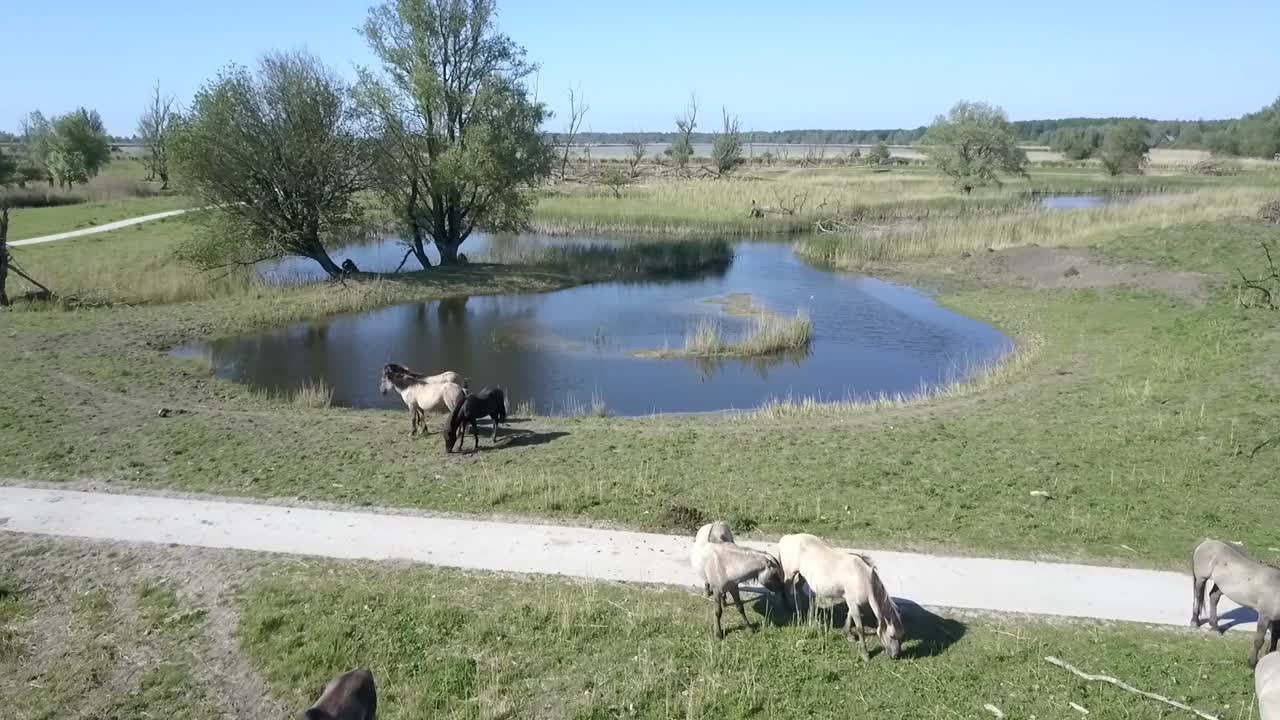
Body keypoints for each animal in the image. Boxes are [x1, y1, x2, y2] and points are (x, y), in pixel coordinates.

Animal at [1191, 538, 1280, 667]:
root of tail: (1205, 543)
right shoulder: (1265, 616)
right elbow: (1259, 640)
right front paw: (1252, 663)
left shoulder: (1275, 620)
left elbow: (1274, 639)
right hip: (1201, 578)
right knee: (1198, 596)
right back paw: (1195, 622)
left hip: (1220, 586)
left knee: (1213, 597)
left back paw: (1215, 627)